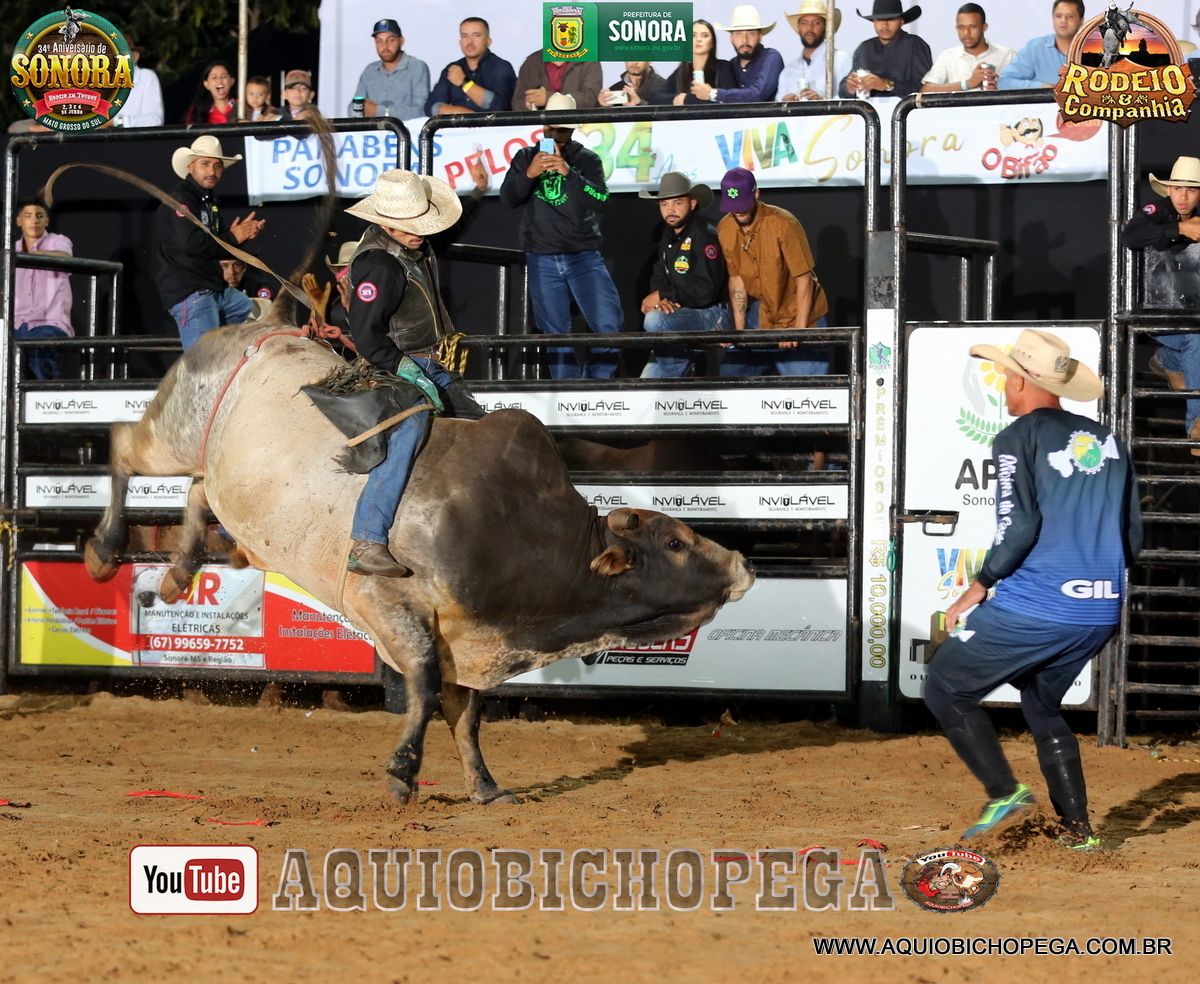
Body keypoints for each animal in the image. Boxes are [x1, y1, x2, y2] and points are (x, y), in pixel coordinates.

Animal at [85, 315, 754, 805]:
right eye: (675, 543)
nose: (743, 564)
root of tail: (262, 323)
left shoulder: (467, 635)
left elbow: (466, 713)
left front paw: (485, 787)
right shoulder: (388, 603)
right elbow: (425, 687)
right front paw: (403, 771)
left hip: (219, 472)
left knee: (200, 494)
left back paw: (178, 576)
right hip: (174, 432)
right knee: (123, 443)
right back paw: (102, 550)